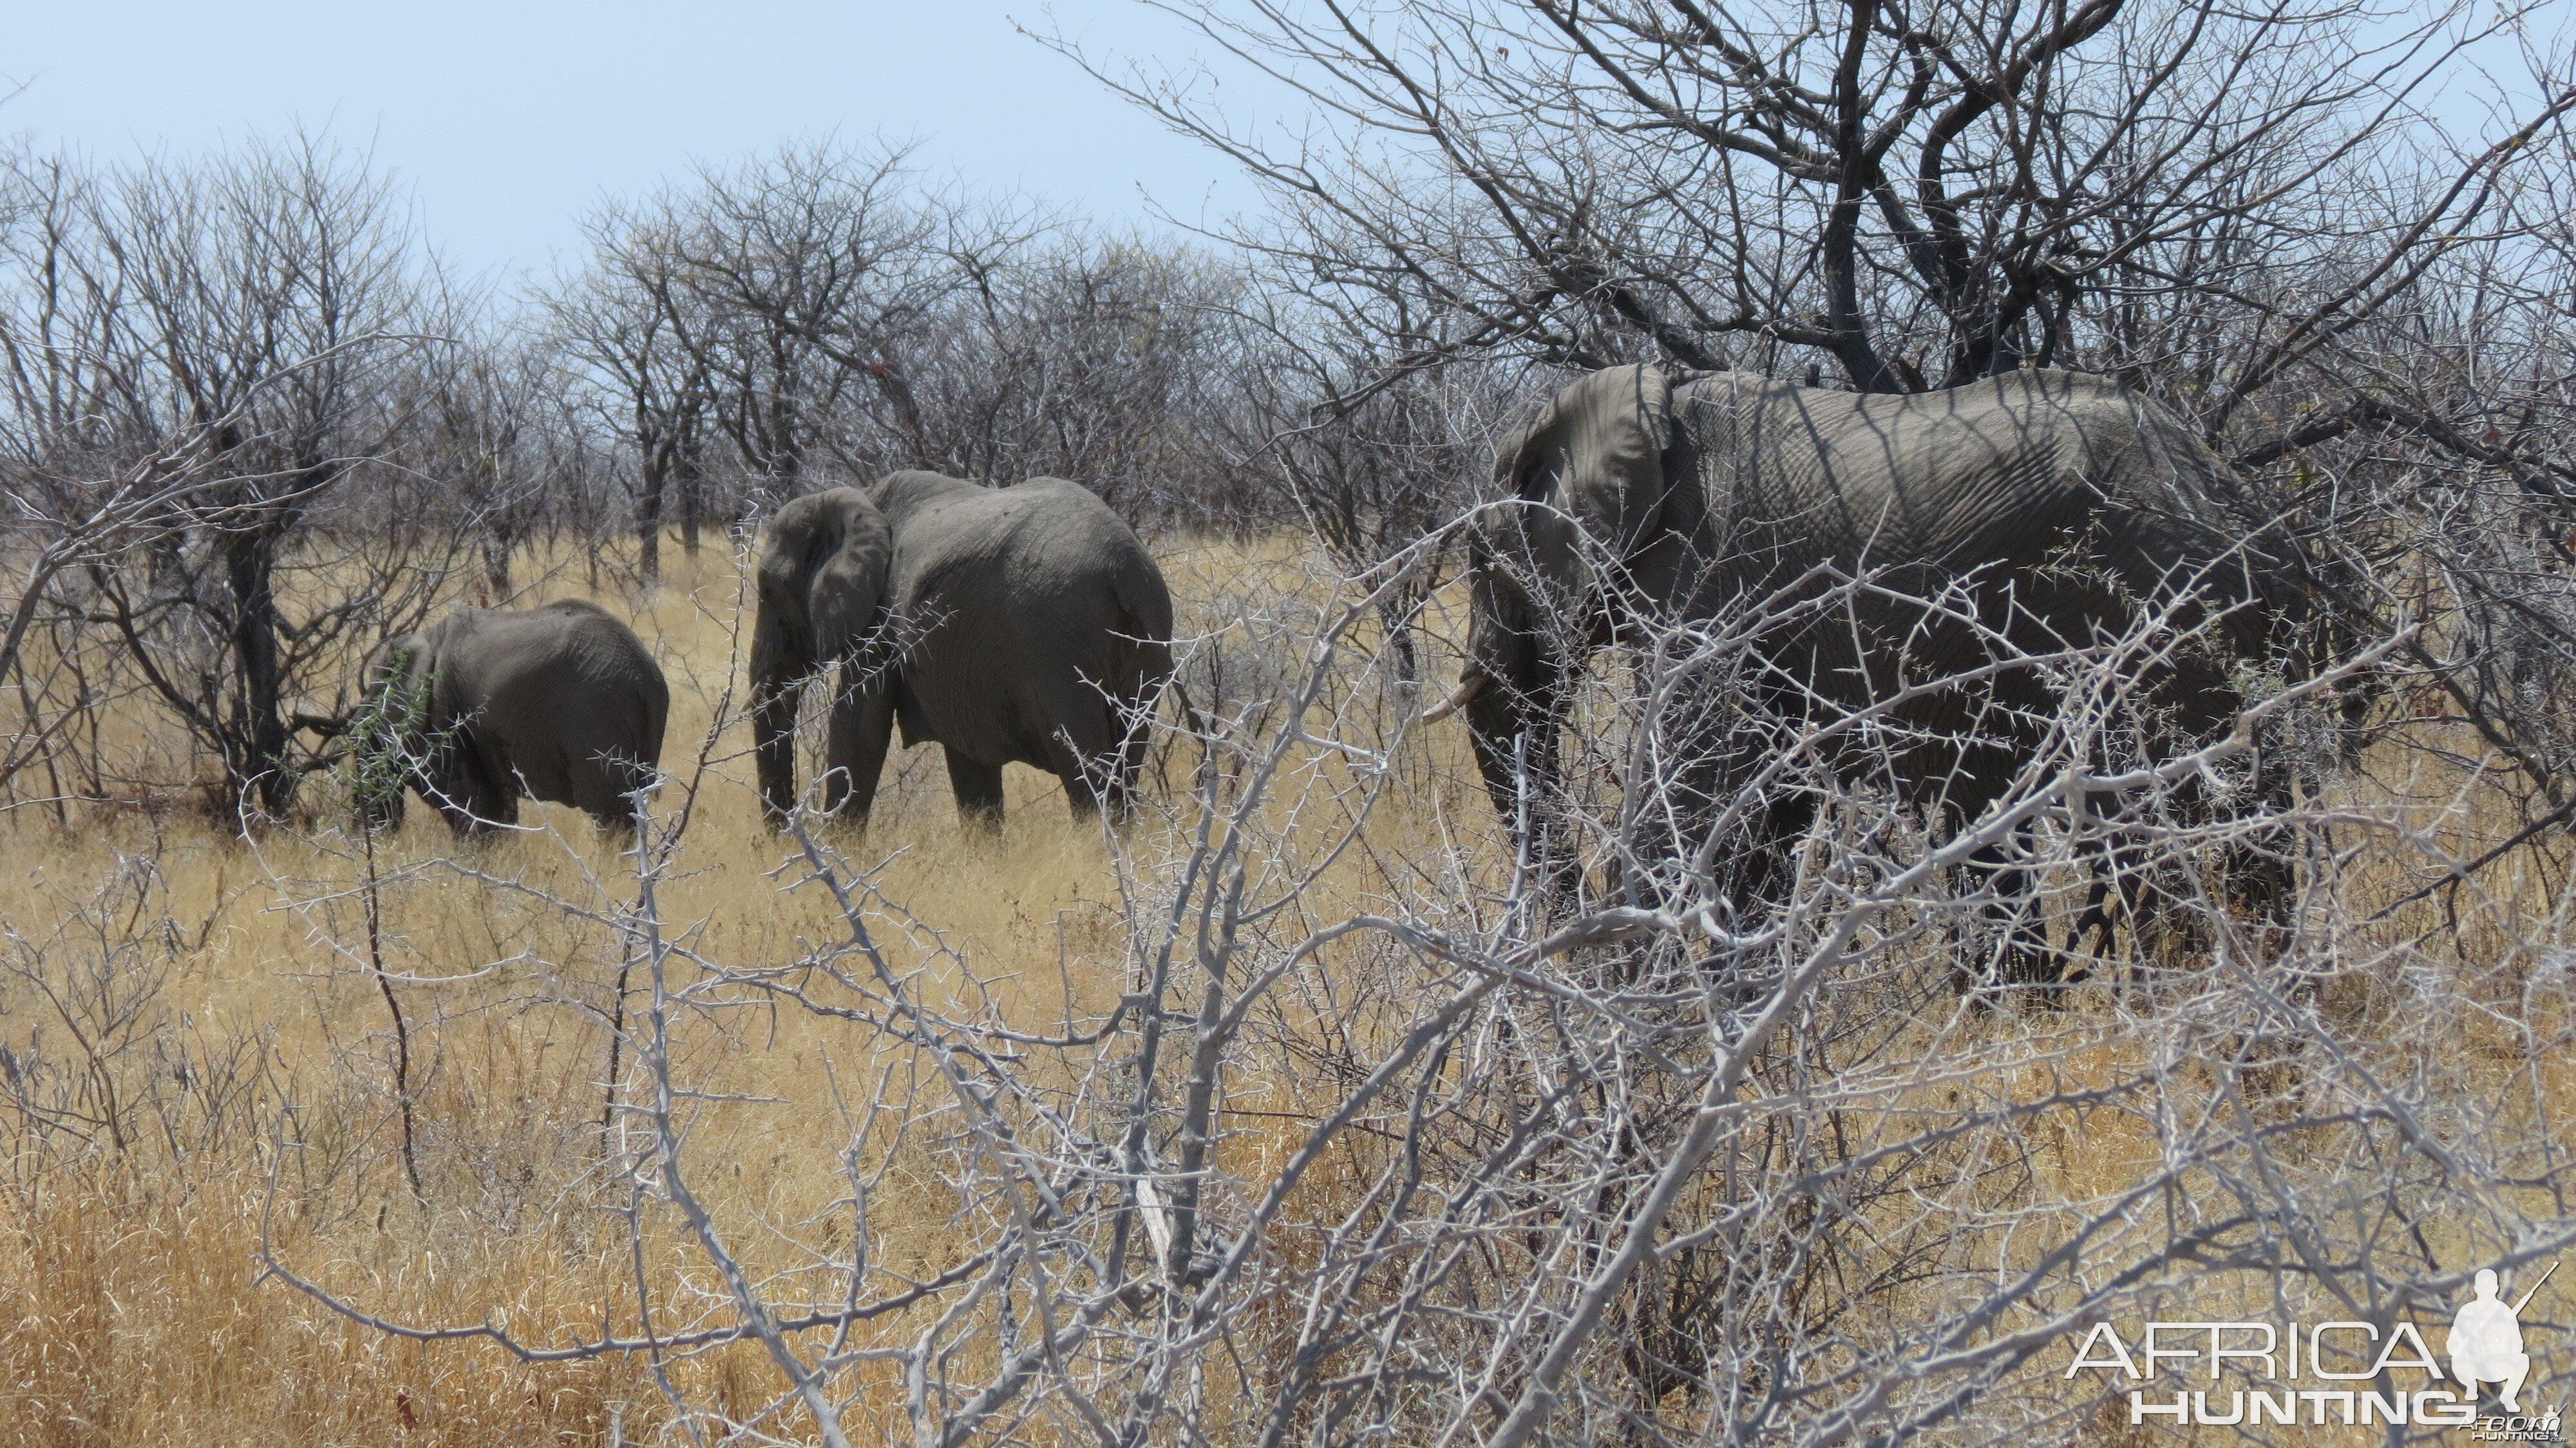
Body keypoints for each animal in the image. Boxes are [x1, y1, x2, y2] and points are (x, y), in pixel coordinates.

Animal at [355, 593, 670, 830]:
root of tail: (646, 678)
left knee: (606, 806)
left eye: (370, 719)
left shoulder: (443, 714)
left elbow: (468, 800)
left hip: (596, 715)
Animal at [752, 469, 1180, 830]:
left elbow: (861, 728)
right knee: (1128, 754)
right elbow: (967, 753)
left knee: (1085, 766)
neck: (859, 498)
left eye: (769, 592)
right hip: (1148, 642)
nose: (783, 835)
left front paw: (840, 853)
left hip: (1058, 643)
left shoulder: (880, 619)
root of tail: (1125, 568)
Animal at [1432, 358, 2298, 969]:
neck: (1650, 396)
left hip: (2171, 621)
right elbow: (1768, 804)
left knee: (2168, 828)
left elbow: (1694, 781)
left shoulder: (1713, 575)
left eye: (1483, 558)